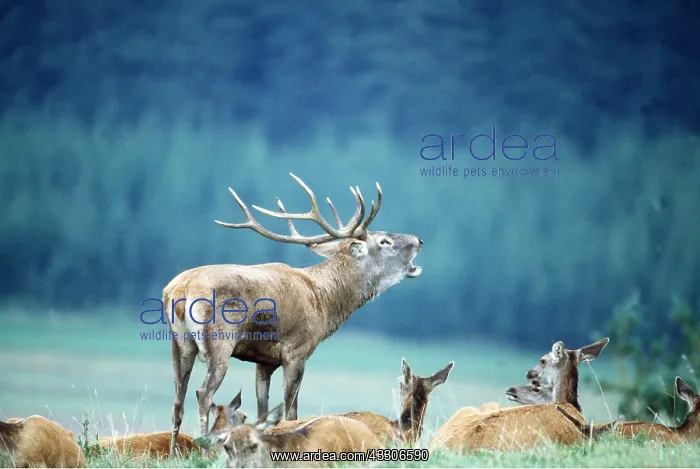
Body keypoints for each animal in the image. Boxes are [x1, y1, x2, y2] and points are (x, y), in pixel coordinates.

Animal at [163, 173, 423, 455]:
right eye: (384, 241)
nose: (419, 240)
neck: (324, 302)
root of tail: (178, 290)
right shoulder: (297, 351)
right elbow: (291, 410)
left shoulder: (264, 360)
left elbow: (263, 411)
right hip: (219, 341)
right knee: (203, 393)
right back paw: (205, 450)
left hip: (179, 344)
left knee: (178, 399)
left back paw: (173, 452)